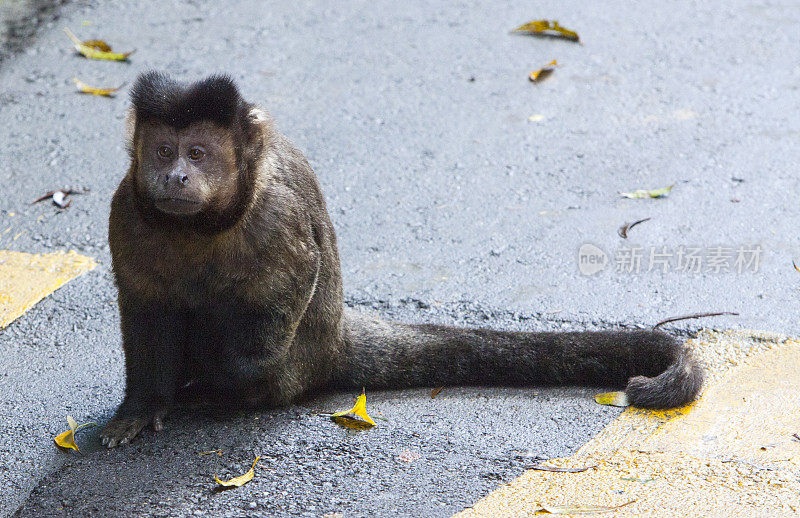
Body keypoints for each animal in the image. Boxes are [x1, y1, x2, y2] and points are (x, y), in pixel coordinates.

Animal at [98, 73, 700, 450]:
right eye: (162, 151)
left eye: (197, 153)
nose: (176, 175)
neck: (202, 226)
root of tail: (332, 345)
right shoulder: (128, 208)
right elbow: (145, 307)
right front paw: (143, 407)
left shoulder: (276, 212)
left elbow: (286, 284)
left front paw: (224, 383)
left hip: (296, 368)